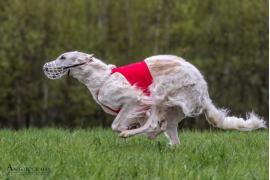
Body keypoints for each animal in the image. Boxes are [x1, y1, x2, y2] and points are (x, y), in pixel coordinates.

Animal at [42, 51, 266, 146]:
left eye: (63, 57)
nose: (45, 67)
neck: (102, 78)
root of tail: (204, 93)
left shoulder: (134, 99)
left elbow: (117, 124)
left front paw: (126, 130)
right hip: (173, 110)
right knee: (170, 134)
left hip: (162, 92)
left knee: (154, 124)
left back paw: (137, 134)